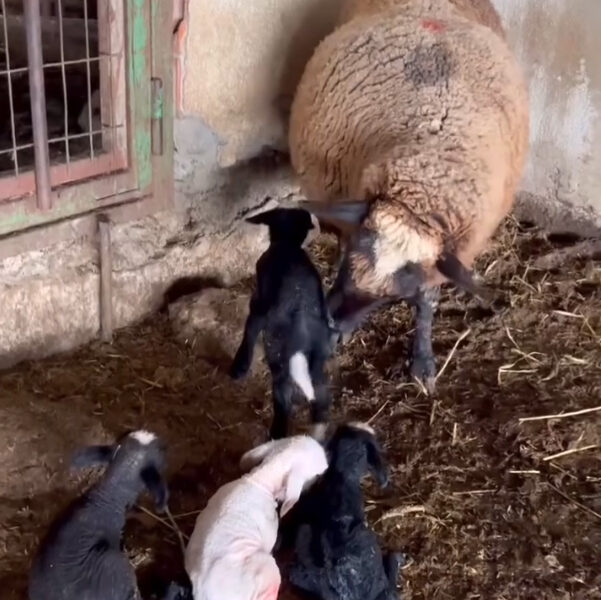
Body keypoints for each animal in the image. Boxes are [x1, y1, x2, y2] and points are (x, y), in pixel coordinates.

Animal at [229, 207, 339, 439]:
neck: (287, 243)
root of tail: (302, 332)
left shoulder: (259, 304)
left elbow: (250, 330)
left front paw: (239, 367)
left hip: (280, 360)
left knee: (283, 402)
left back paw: (276, 435)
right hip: (317, 361)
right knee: (321, 399)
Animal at [288, 0, 529, 392]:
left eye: (394, 295)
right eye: (350, 263)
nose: (334, 322)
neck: (420, 190)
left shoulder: (445, 255)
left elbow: (427, 301)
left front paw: (423, 361)